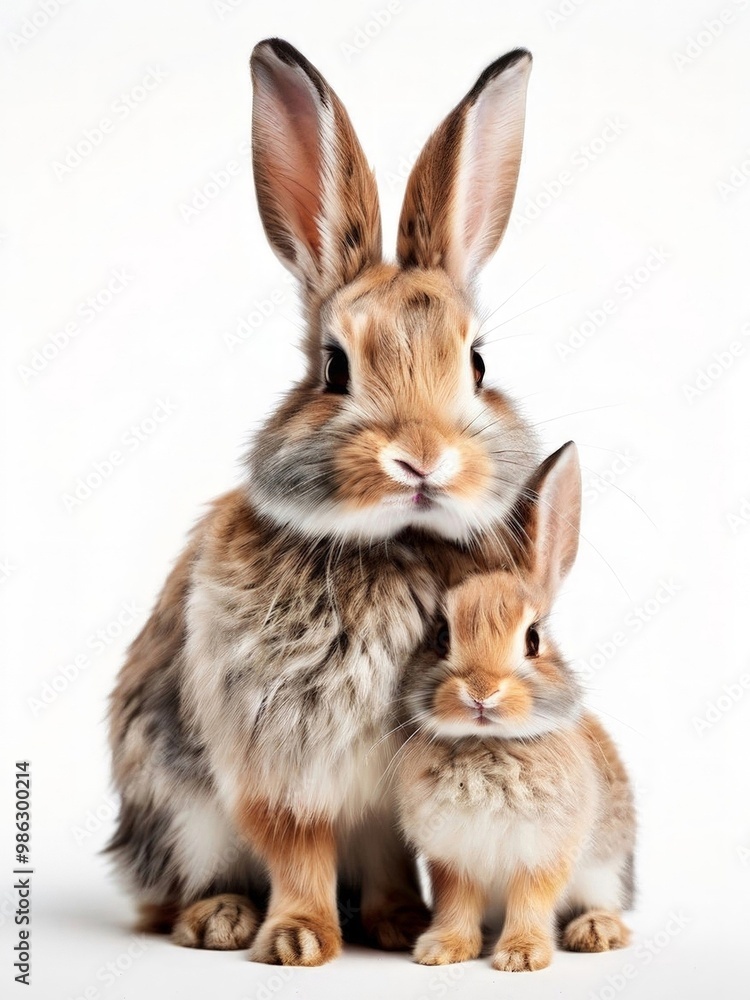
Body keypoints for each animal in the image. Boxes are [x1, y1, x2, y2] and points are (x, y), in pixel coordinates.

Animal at [108, 38, 539, 967]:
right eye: (335, 368)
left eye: (478, 364)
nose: (422, 458)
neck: (393, 545)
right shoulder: (279, 763)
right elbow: (297, 848)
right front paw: (301, 941)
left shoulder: (389, 793)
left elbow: (386, 854)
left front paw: (399, 923)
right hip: (180, 813)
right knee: (172, 895)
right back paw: (221, 919)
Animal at [396, 442, 636, 972]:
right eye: (440, 637)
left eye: (533, 639)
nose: (481, 691)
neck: (486, 744)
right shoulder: (451, 860)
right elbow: (456, 901)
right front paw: (441, 950)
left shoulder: (545, 855)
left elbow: (531, 900)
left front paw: (522, 957)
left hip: (605, 870)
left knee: (605, 904)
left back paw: (596, 932)